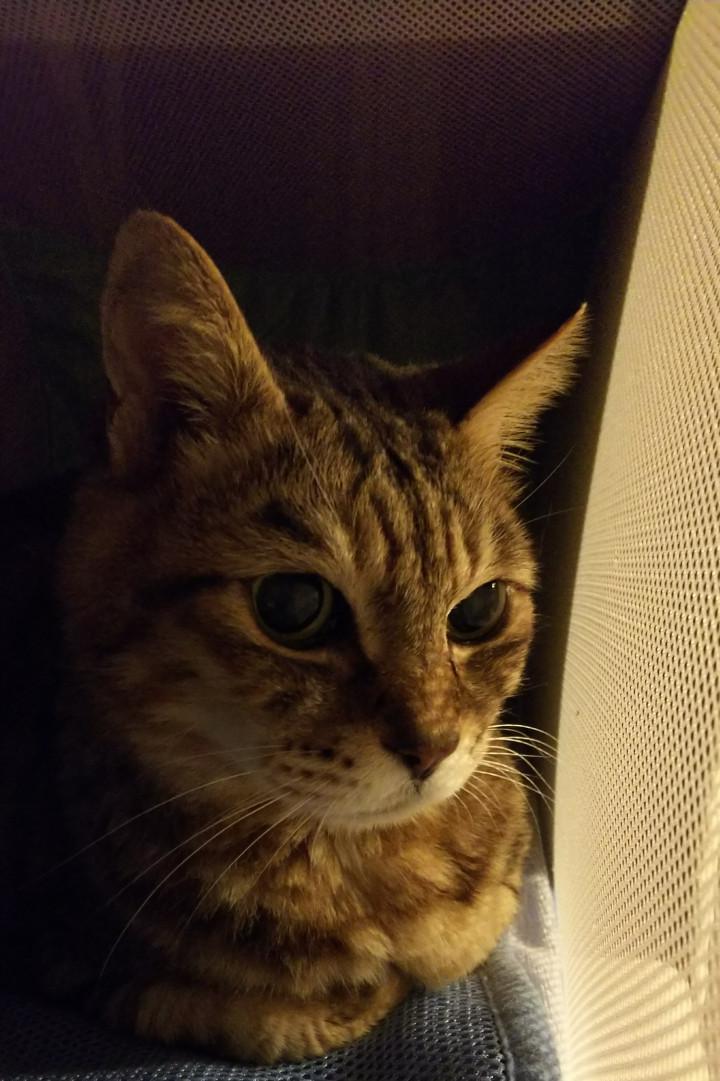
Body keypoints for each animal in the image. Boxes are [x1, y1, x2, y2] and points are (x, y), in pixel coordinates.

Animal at [25, 211, 585, 1063]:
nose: (433, 746)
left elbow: (469, 931)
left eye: (479, 610)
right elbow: (282, 1014)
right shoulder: (79, 962)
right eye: (292, 605)